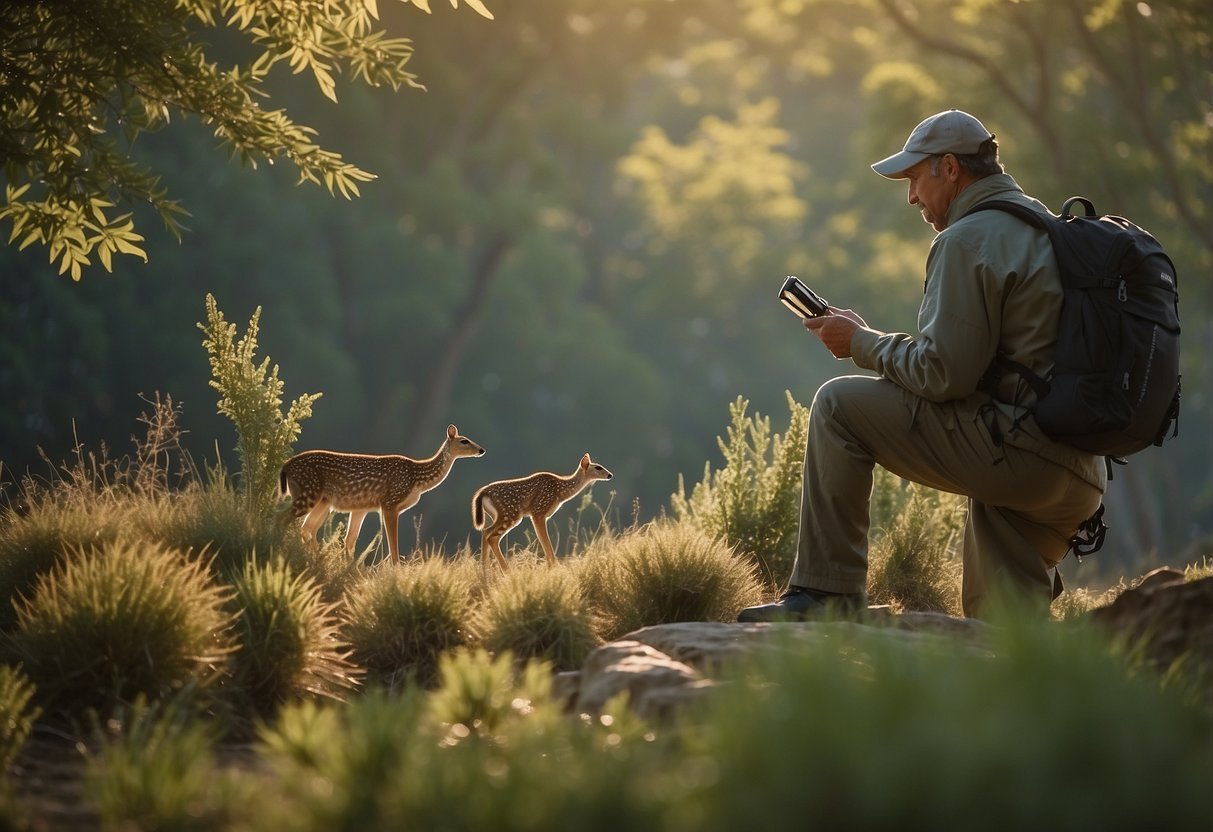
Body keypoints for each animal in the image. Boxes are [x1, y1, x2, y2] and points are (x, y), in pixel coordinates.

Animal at [278, 426, 482, 562]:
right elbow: (393, 545)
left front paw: (350, 569)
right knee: (283, 518)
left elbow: (350, 540)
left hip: (323, 501)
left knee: (307, 528)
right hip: (308, 492)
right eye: (464, 440)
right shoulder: (390, 503)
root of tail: (285, 466)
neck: (417, 478)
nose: (482, 449)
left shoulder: (361, 507)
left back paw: (316, 558)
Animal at [468, 456, 611, 579]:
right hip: (511, 514)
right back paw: (507, 572)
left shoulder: (540, 515)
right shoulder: (538, 511)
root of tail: (482, 493)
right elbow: (546, 542)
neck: (560, 492)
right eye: (598, 467)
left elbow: (544, 541)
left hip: (496, 516)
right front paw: (555, 568)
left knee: (485, 532)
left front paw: (552, 568)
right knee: (491, 537)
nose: (610, 475)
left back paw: (485, 573)